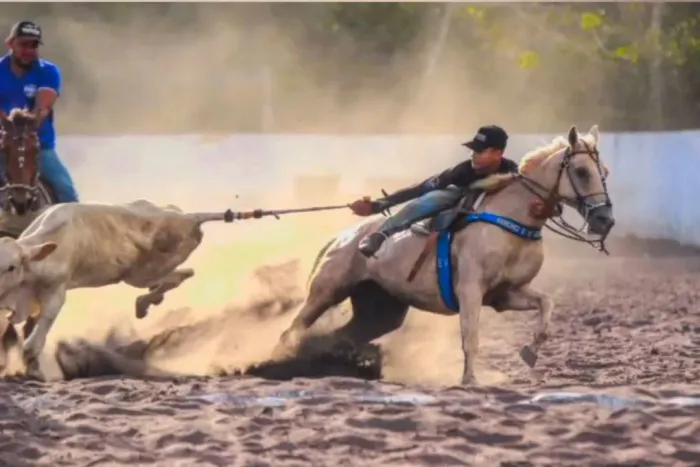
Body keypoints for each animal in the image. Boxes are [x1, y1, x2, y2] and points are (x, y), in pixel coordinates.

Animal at [273, 125, 615, 385]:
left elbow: (547, 305)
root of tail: (339, 238)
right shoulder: (470, 290)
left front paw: (530, 352)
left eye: (605, 172)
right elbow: (470, 337)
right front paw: (470, 380)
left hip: (381, 308)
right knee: (292, 330)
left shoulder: (506, 294)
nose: (605, 220)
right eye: (581, 171)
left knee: (344, 335)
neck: (512, 220)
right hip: (327, 291)